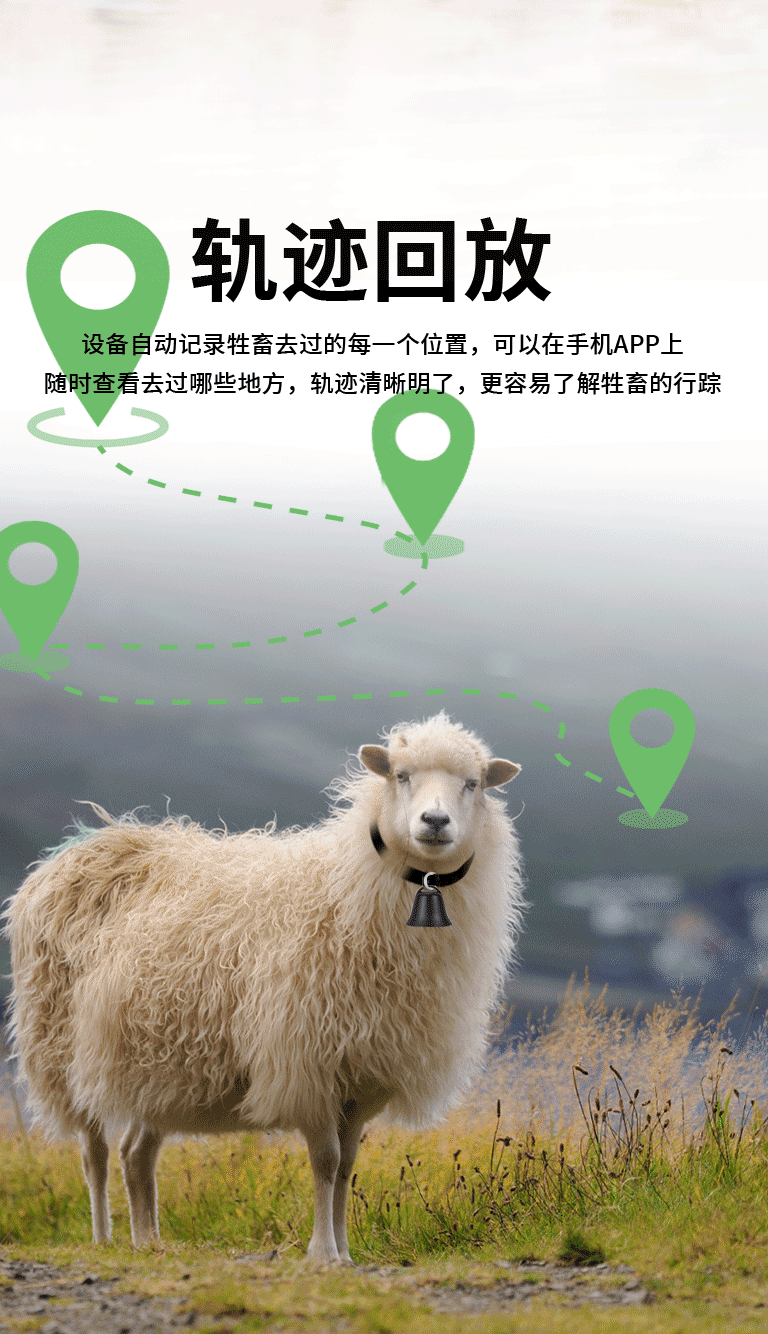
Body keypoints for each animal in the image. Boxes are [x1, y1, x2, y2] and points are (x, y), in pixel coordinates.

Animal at [2, 711, 525, 1264]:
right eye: (400, 775)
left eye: (473, 784)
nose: (435, 821)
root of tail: (81, 846)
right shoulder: (306, 1063)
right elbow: (326, 1161)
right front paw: (322, 1252)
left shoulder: (362, 1074)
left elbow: (347, 1167)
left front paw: (345, 1252)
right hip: (61, 1052)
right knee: (94, 1153)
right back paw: (103, 1237)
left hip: (156, 1065)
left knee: (135, 1154)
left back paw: (149, 1240)